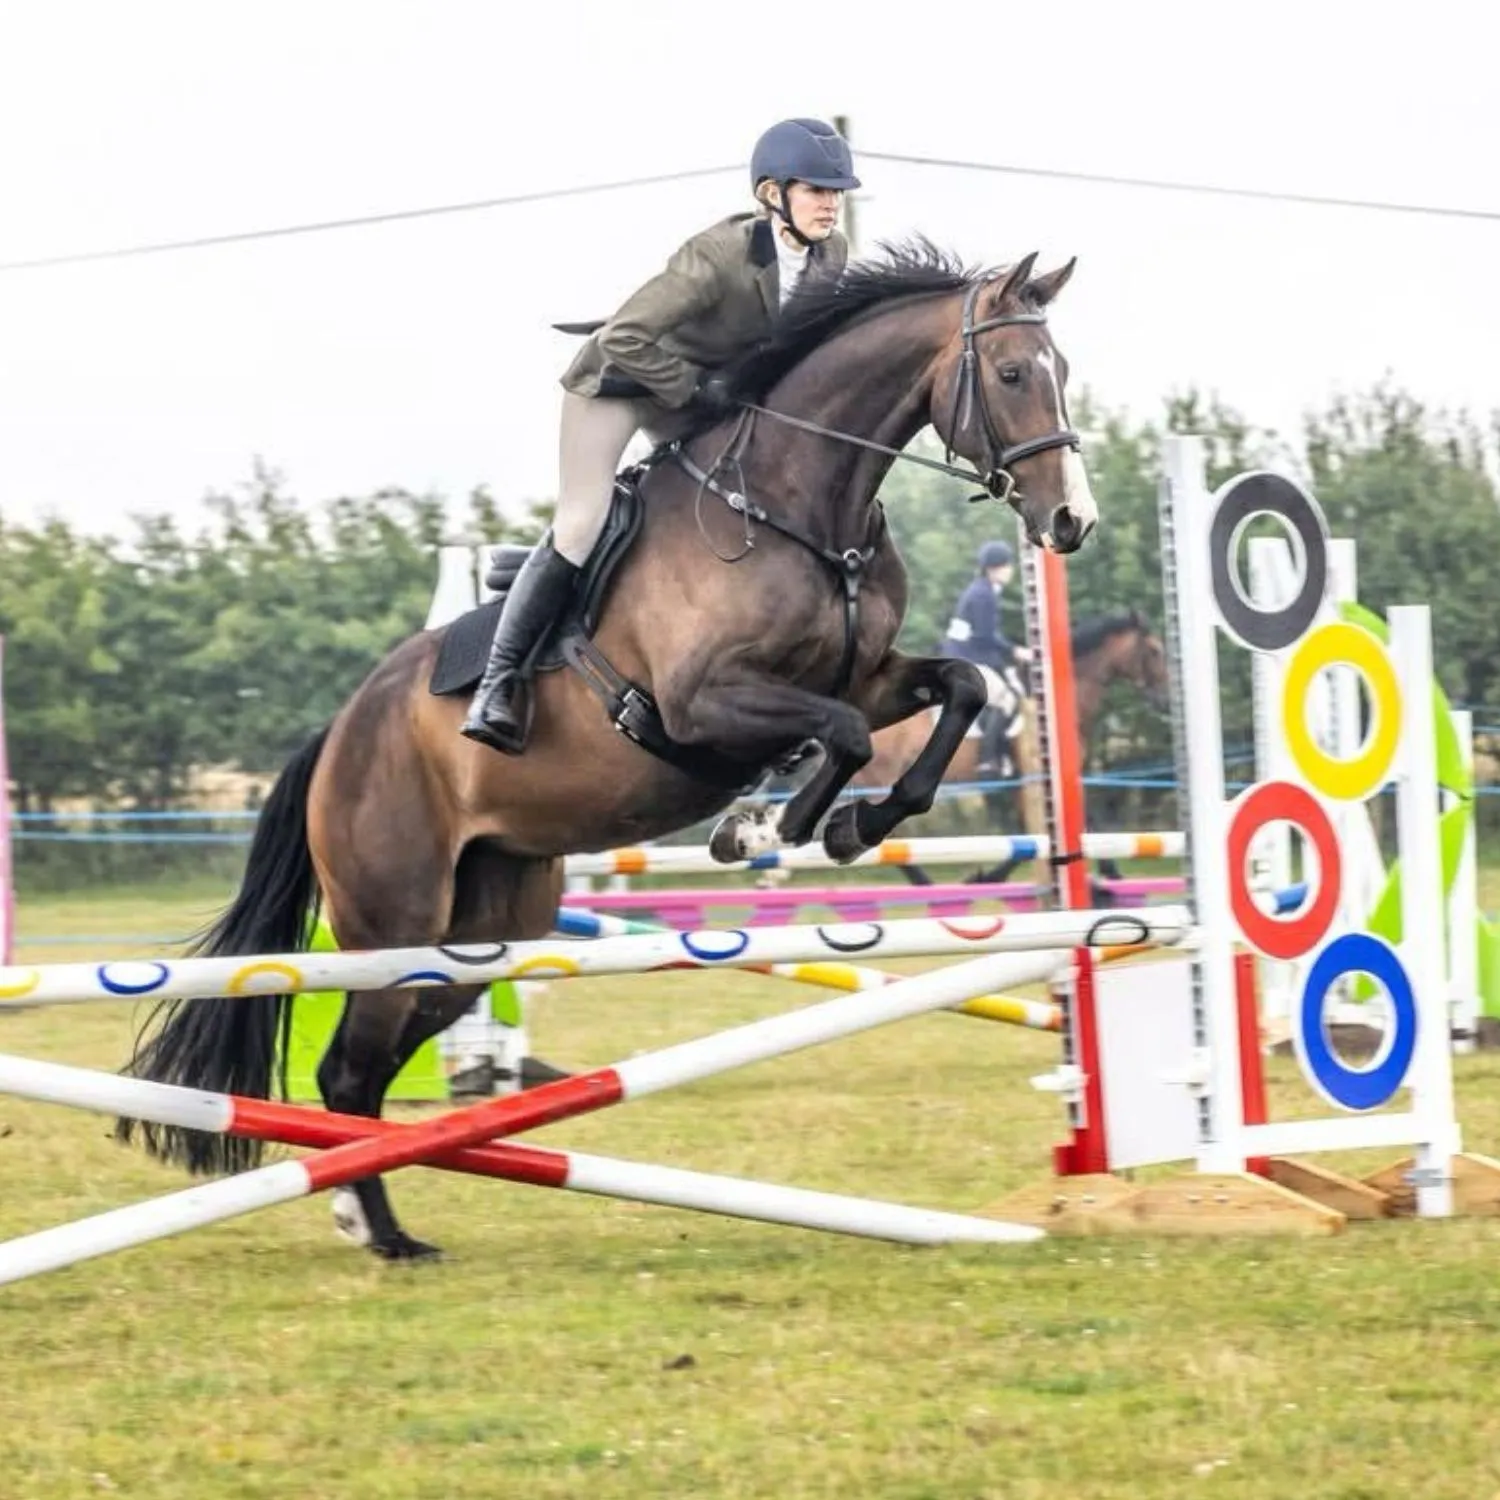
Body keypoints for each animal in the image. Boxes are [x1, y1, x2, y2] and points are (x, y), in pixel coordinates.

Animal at [116, 241, 1099, 1261]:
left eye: (1063, 371)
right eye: (1014, 373)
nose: (1071, 522)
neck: (794, 505)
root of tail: (342, 733)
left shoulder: (866, 677)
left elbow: (957, 689)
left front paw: (855, 822)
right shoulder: (703, 702)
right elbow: (842, 733)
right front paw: (767, 827)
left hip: (484, 931)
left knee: (376, 1065)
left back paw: (370, 1210)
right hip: (394, 919)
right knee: (350, 1067)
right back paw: (379, 1229)